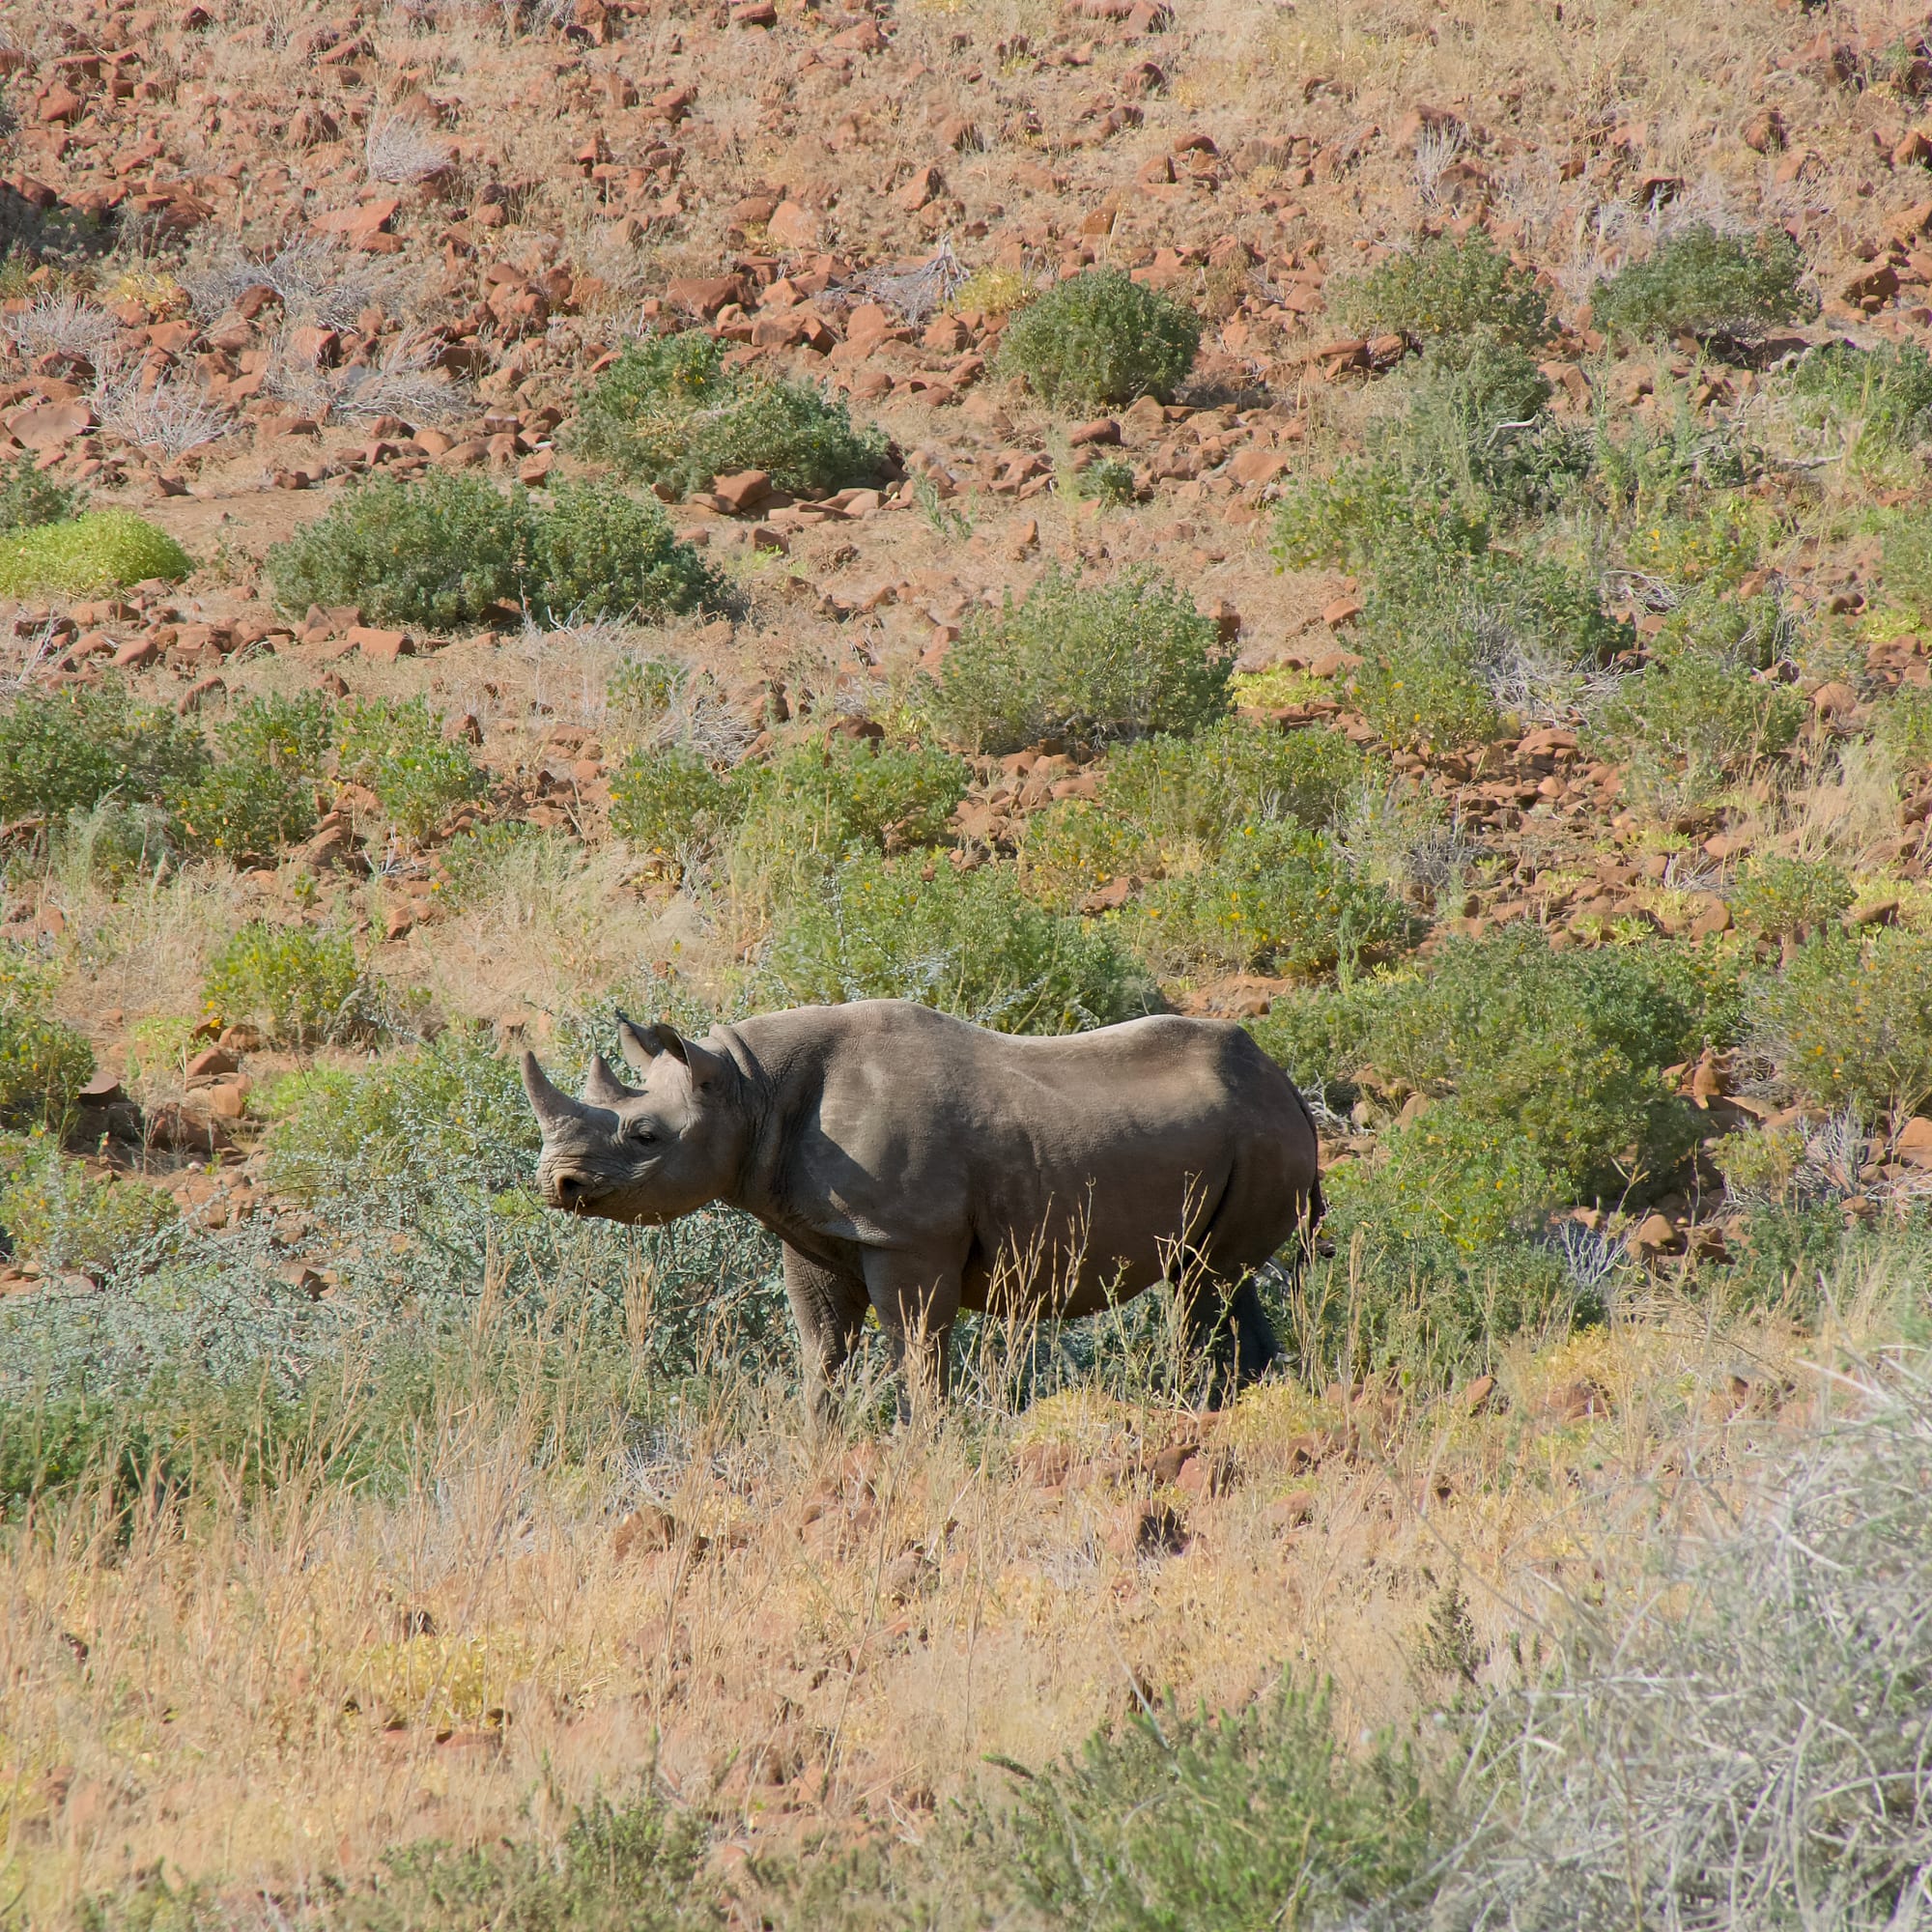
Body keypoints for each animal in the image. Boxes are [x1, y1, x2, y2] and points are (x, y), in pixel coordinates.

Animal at [521, 999, 1322, 1412]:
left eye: (645, 1135)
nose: (556, 1184)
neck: (747, 1087)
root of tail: (1289, 1086)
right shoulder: (810, 1230)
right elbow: (823, 1349)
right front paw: (822, 1443)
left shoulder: (907, 1235)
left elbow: (916, 1350)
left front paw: (922, 1444)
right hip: (1248, 1132)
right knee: (1219, 1279)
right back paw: (1243, 1408)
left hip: (1262, 1134)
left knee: (1205, 1286)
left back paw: (1204, 1412)